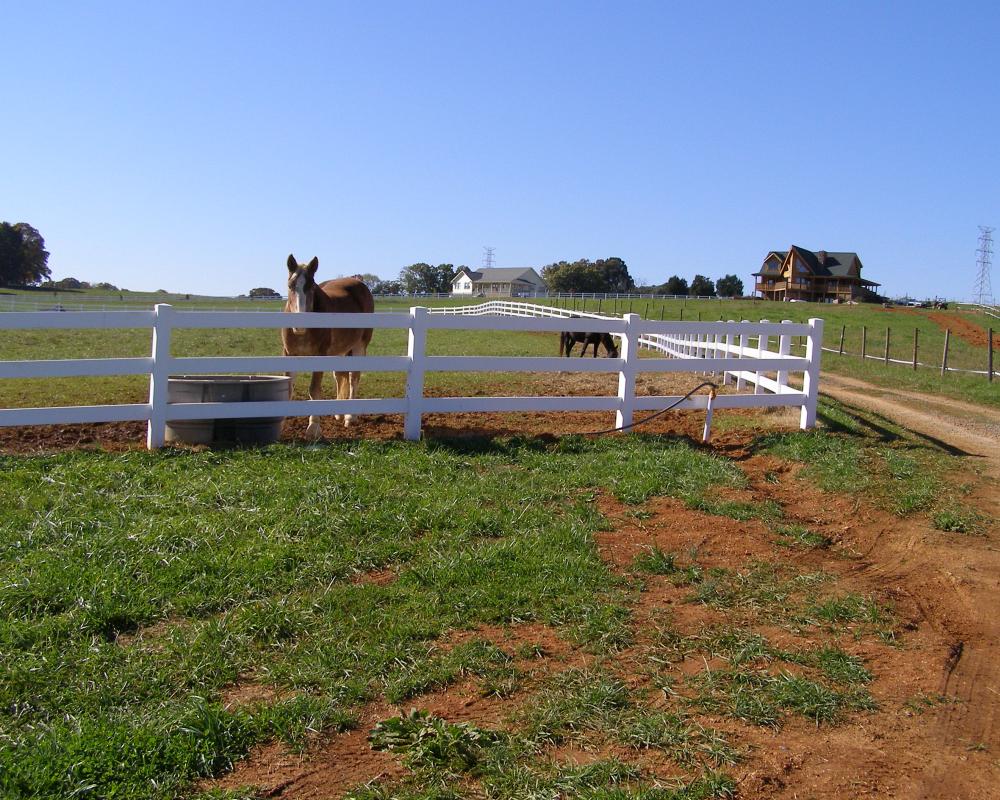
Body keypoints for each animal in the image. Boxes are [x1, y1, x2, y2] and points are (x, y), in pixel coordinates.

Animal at [282, 255, 376, 438]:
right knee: (340, 376)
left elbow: (314, 390)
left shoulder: (319, 355)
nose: (300, 325)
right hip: (339, 351)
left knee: (353, 378)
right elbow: (287, 388)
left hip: (359, 346)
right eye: (290, 285)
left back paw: (350, 417)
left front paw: (313, 428)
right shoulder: (289, 354)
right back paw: (338, 413)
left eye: (311, 286)